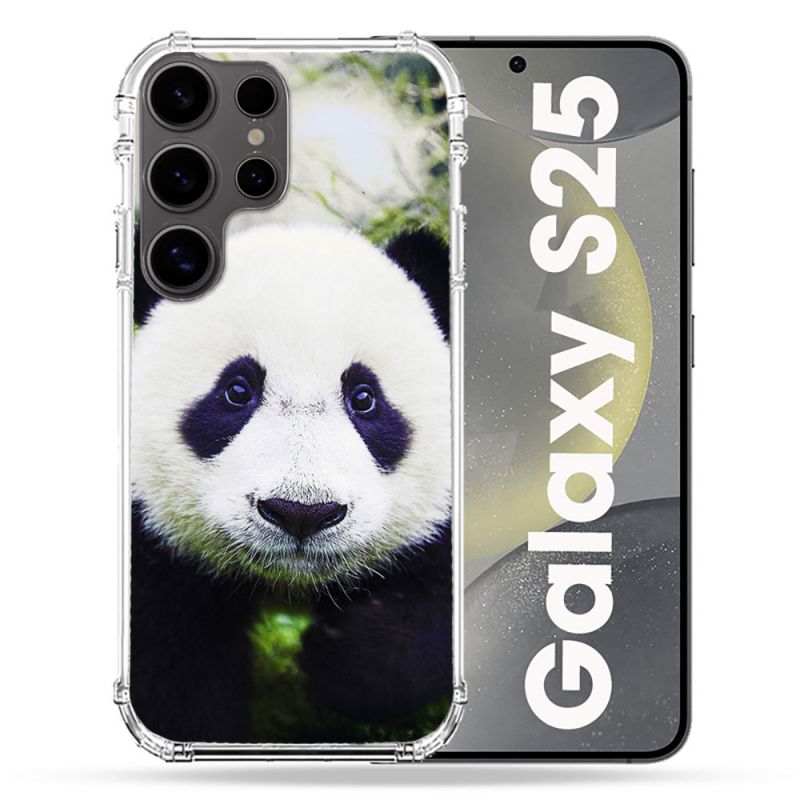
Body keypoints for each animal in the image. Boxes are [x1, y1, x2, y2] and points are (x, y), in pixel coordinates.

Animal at [129, 224, 453, 743]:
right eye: (237, 390)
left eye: (364, 397)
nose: (302, 512)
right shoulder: (158, 552)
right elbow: (175, 670)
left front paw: (340, 658)